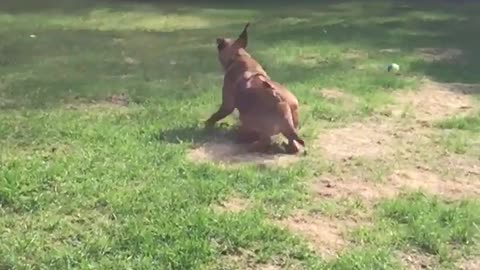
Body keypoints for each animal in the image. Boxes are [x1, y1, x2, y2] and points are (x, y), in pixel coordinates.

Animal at [204, 22, 302, 151]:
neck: (239, 56)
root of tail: (280, 102)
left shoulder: (227, 105)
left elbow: (215, 115)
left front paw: (207, 124)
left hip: (249, 120)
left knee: (264, 140)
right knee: (293, 143)